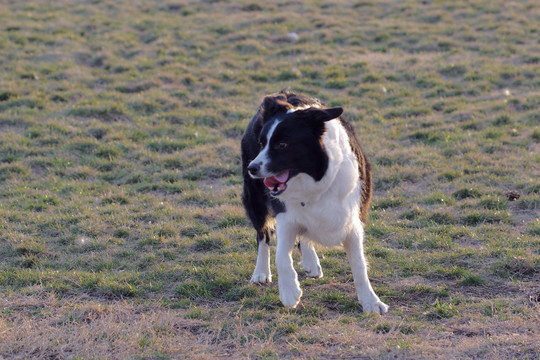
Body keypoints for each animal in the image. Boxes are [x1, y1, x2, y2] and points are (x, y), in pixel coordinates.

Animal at [242, 90, 388, 316]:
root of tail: (280, 94)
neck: (314, 181)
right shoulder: (286, 215)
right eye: (261, 143)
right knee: (263, 234)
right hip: (255, 199)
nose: (252, 168)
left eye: (282, 145)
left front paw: (371, 302)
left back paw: (310, 261)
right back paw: (261, 272)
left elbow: (359, 266)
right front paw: (289, 292)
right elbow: (281, 255)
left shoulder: (351, 221)